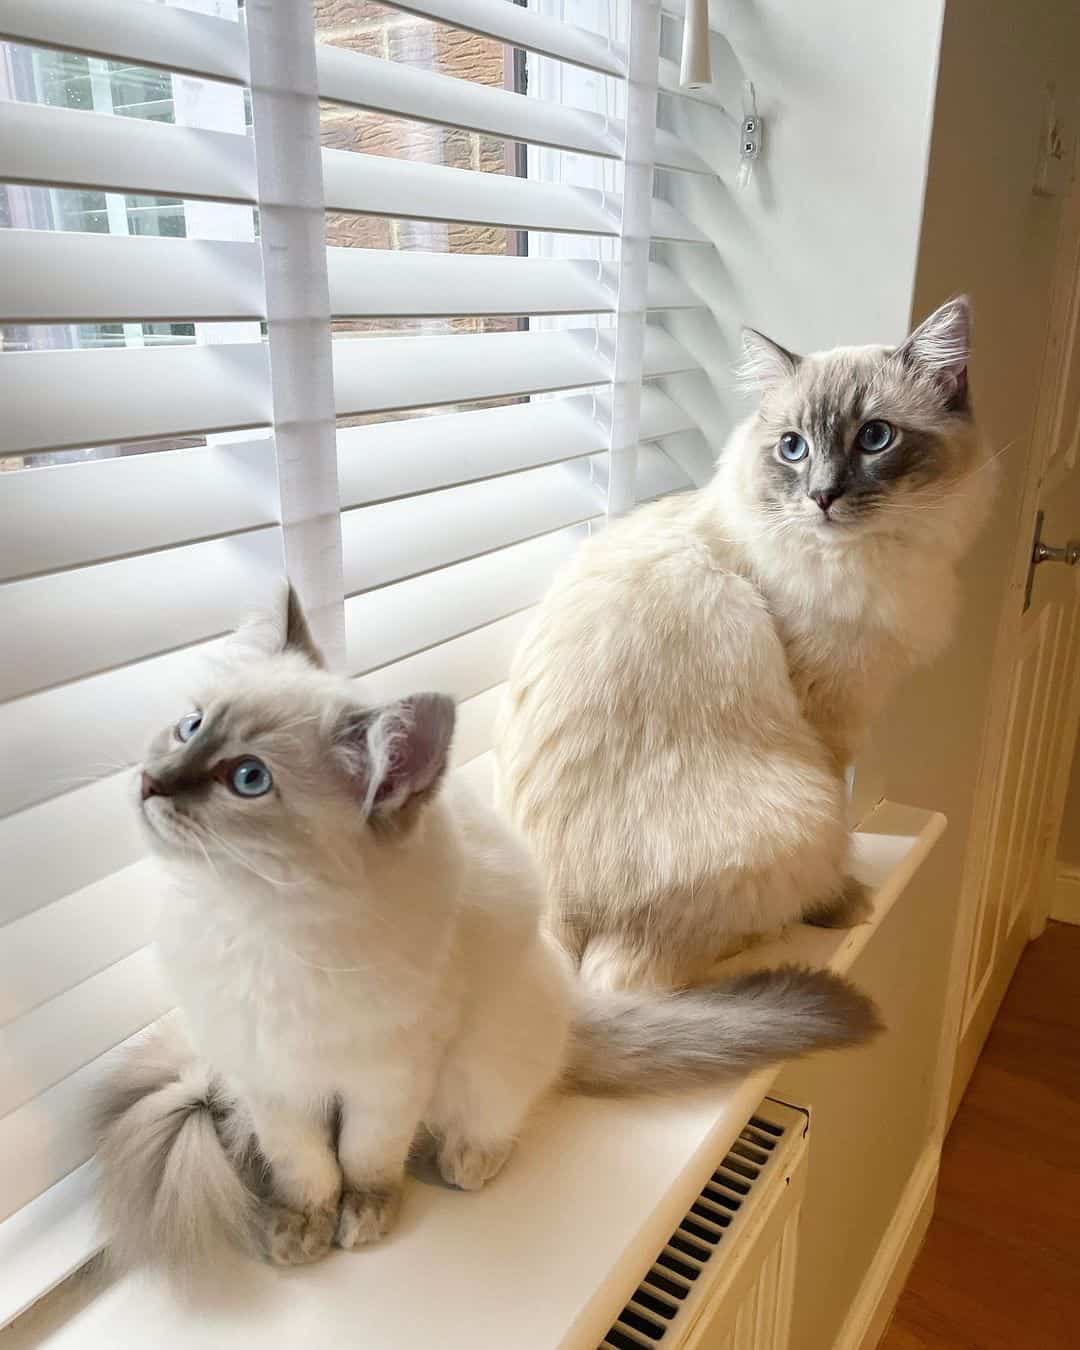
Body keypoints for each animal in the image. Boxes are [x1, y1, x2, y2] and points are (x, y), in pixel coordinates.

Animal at [97, 585, 880, 1269]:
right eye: (192, 726)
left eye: (248, 779)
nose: (149, 782)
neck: (257, 921)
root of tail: (569, 1005)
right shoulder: (273, 1082)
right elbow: (308, 1168)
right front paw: (301, 1231)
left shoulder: (387, 1079)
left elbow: (363, 1160)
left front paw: (365, 1217)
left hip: (486, 1049)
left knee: (497, 1113)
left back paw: (471, 1160)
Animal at [496, 298, 993, 993]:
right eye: (793, 448)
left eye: (875, 438)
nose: (822, 496)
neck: (874, 558)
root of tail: (557, 919)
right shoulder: (828, 715)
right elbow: (840, 823)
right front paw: (841, 903)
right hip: (798, 814)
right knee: (633, 968)